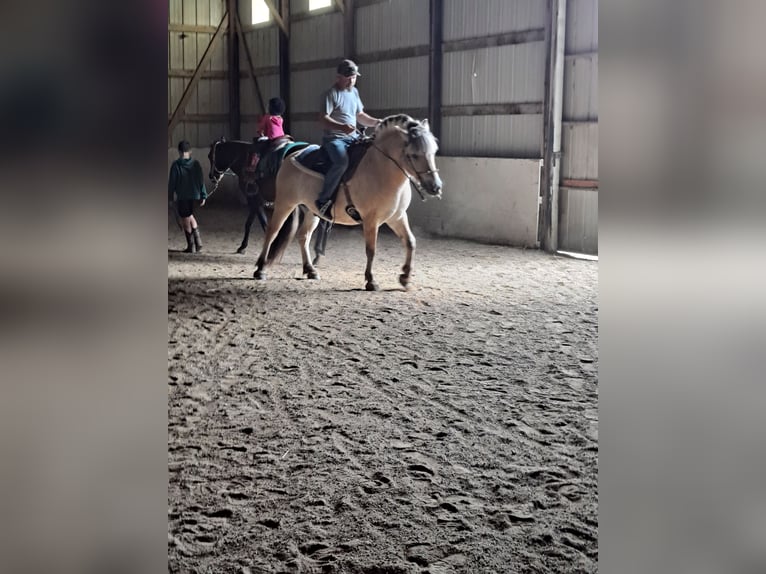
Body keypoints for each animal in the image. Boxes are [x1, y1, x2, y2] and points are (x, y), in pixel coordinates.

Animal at [255, 114, 440, 290]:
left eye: (434, 151)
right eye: (414, 154)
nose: (435, 187)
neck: (380, 169)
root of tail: (292, 154)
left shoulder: (397, 217)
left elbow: (410, 242)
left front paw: (405, 278)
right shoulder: (371, 220)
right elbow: (371, 250)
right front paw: (371, 281)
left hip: (311, 211)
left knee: (304, 236)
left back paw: (310, 270)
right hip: (285, 203)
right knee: (272, 232)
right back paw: (260, 269)